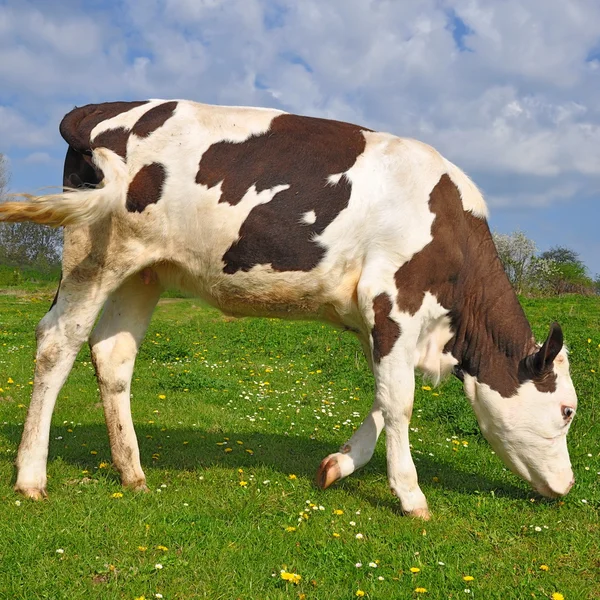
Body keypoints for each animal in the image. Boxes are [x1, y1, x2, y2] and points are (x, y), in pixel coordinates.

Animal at [1, 101, 580, 516]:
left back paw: (131, 472)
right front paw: (412, 497)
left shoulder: (381, 322)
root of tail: (103, 107)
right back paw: (31, 477)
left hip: (144, 270)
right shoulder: (393, 300)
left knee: (113, 354)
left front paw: (339, 465)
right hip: (92, 251)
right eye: (568, 410)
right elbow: (400, 403)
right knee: (57, 342)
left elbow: (382, 398)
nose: (569, 485)